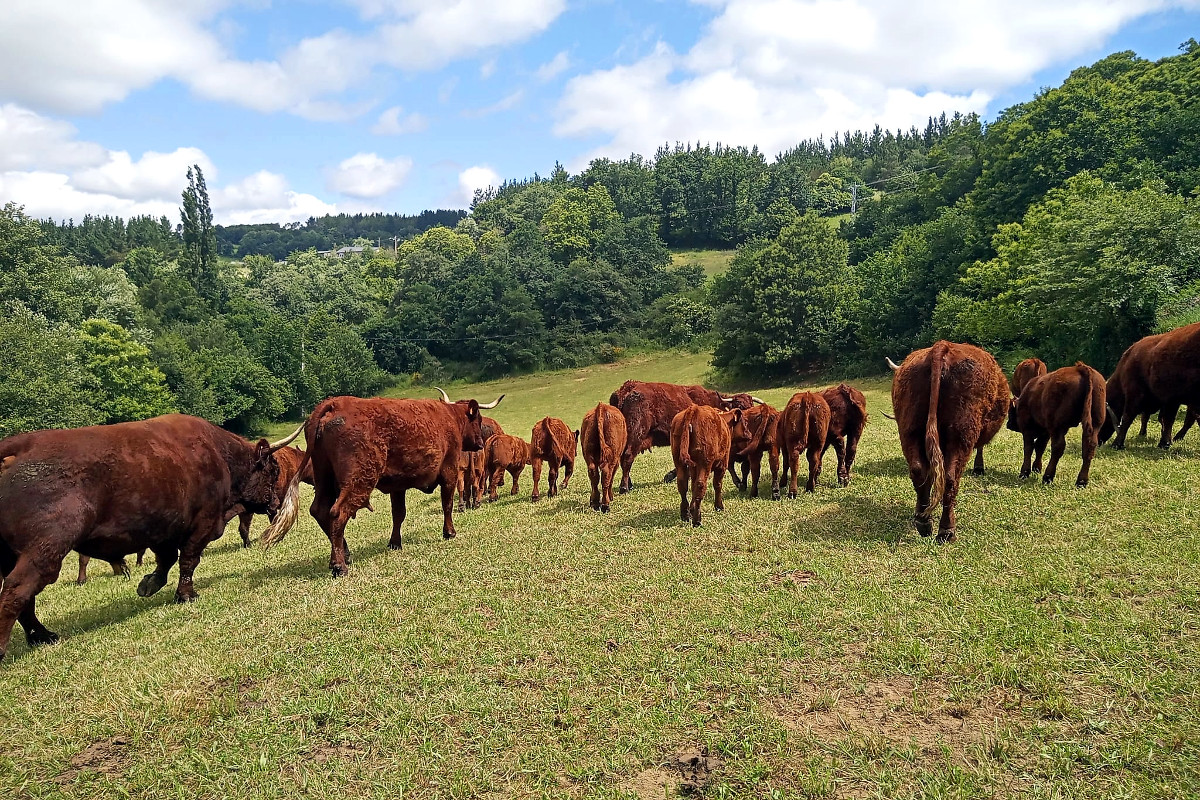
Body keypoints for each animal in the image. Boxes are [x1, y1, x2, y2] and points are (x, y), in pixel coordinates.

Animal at [0, 414, 301, 662]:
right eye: (273, 470)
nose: (277, 503)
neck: (220, 455)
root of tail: (19, 445)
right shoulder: (200, 525)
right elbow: (188, 560)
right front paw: (186, 594)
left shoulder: (163, 530)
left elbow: (166, 561)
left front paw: (148, 585)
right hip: (45, 551)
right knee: (17, 591)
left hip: (15, 555)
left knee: (23, 598)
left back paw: (43, 636)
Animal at [261, 390, 503, 577]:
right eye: (478, 420)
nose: (480, 443)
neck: (450, 418)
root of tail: (334, 403)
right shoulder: (449, 472)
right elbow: (447, 505)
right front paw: (449, 532)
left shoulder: (398, 485)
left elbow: (399, 514)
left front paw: (395, 542)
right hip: (359, 480)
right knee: (337, 513)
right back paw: (339, 565)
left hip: (324, 477)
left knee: (319, 511)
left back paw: (343, 554)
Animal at [609, 381, 761, 493]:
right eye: (739, 405)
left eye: (751, 404)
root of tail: (626, 390)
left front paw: (670, 476)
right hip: (636, 433)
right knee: (628, 456)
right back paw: (624, 487)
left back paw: (629, 484)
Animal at [887, 341, 1010, 543]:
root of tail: (942, 346)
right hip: (961, 435)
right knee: (951, 478)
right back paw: (946, 530)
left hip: (910, 430)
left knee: (919, 471)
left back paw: (923, 521)